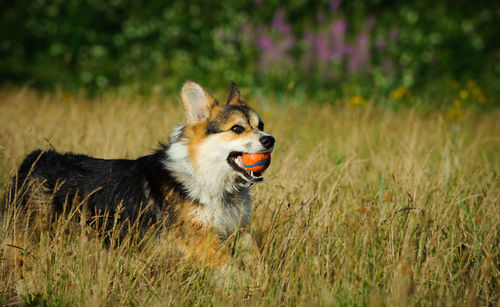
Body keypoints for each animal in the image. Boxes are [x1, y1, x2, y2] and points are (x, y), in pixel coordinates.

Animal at [3, 82, 276, 270]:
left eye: (260, 126)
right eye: (237, 129)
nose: (270, 140)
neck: (205, 174)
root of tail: (36, 158)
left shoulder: (239, 230)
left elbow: (255, 259)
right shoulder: (201, 240)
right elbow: (230, 269)